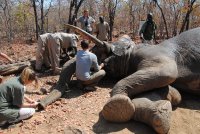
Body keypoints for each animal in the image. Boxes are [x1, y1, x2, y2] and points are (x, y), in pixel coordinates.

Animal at [38, 24, 200, 133]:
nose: (39, 105)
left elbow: (167, 72)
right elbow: (165, 87)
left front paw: (117, 105)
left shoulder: (156, 54)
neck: (131, 48)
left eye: (100, 50)